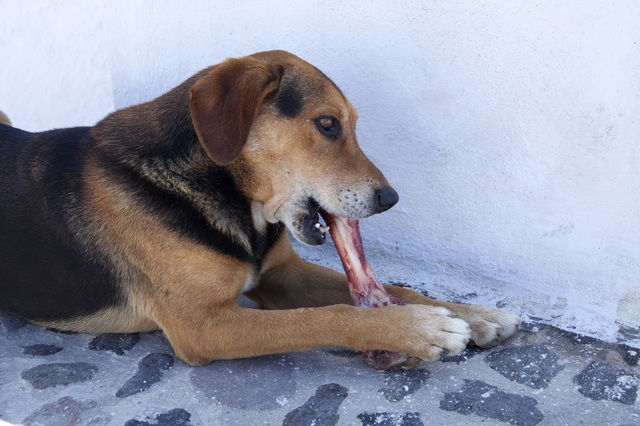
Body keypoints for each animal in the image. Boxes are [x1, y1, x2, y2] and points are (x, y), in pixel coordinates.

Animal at [0, 50, 520, 366]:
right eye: (327, 124)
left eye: (351, 124)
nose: (390, 200)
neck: (233, 199)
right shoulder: (201, 326)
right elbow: (322, 318)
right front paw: (415, 328)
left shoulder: (281, 274)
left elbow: (397, 288)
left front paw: (477, 315)